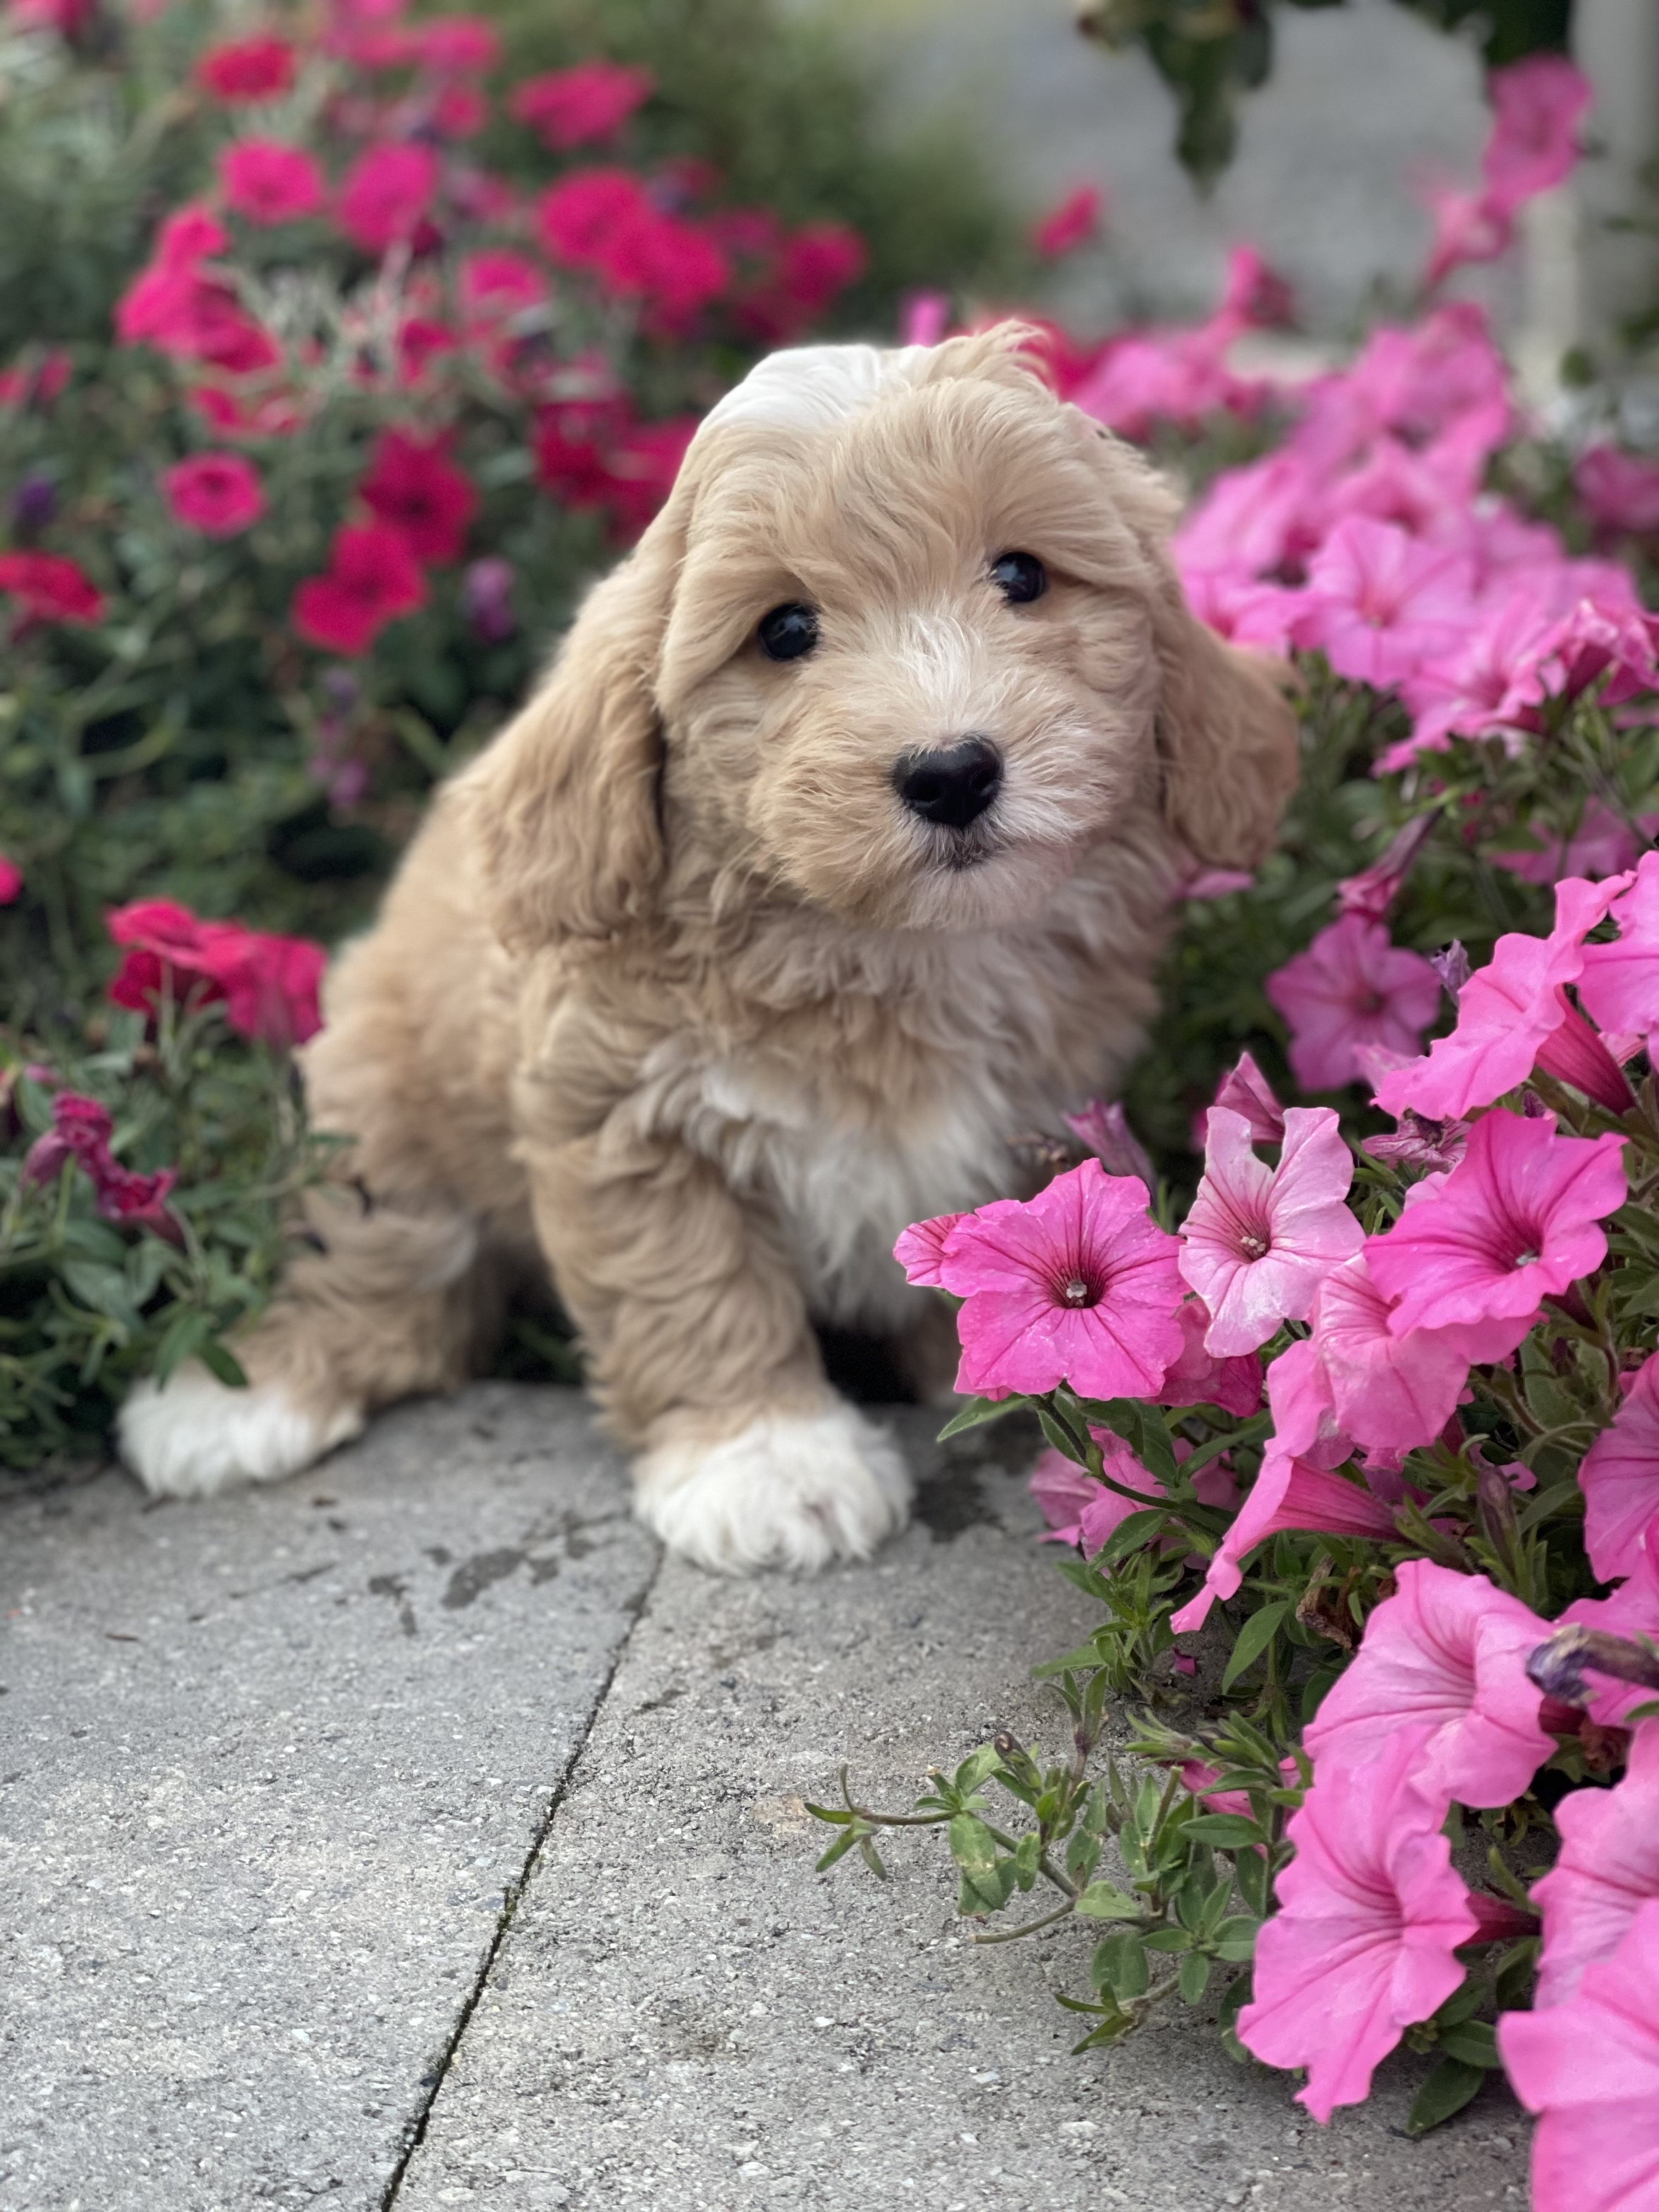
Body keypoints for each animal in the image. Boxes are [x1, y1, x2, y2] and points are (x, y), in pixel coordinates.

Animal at [123, 327, 1309, 1575]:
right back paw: (235, 1399)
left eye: (1023, 576)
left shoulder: (1031, 1123)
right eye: (784, 631)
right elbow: (693, 1289)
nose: (950, 772)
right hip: (382, 1107)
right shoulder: (624, 1122)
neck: (888, 953)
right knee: (371, 1262)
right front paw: (770, 1462)